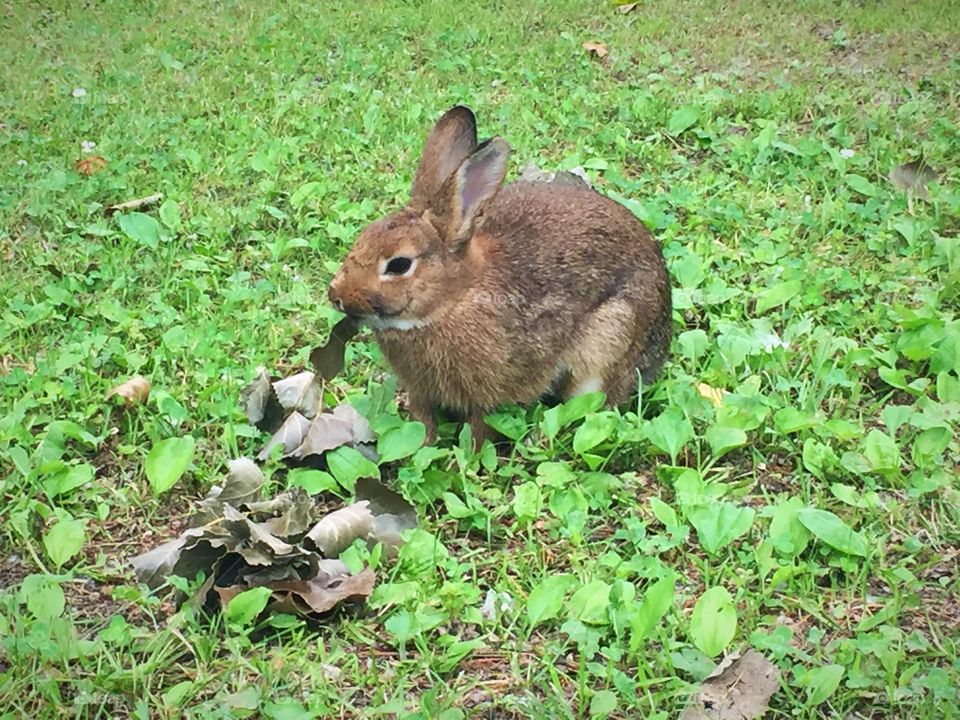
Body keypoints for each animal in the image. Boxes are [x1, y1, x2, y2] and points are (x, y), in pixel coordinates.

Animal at [326, 105, 672, 444]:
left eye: (399, 265)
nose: (336, 295)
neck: (454, 300)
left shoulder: (488, 394)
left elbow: (481, 429)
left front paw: (470, 457)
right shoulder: (421, 391)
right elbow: (422, 424)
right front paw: (423, 446)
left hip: (611, 337)